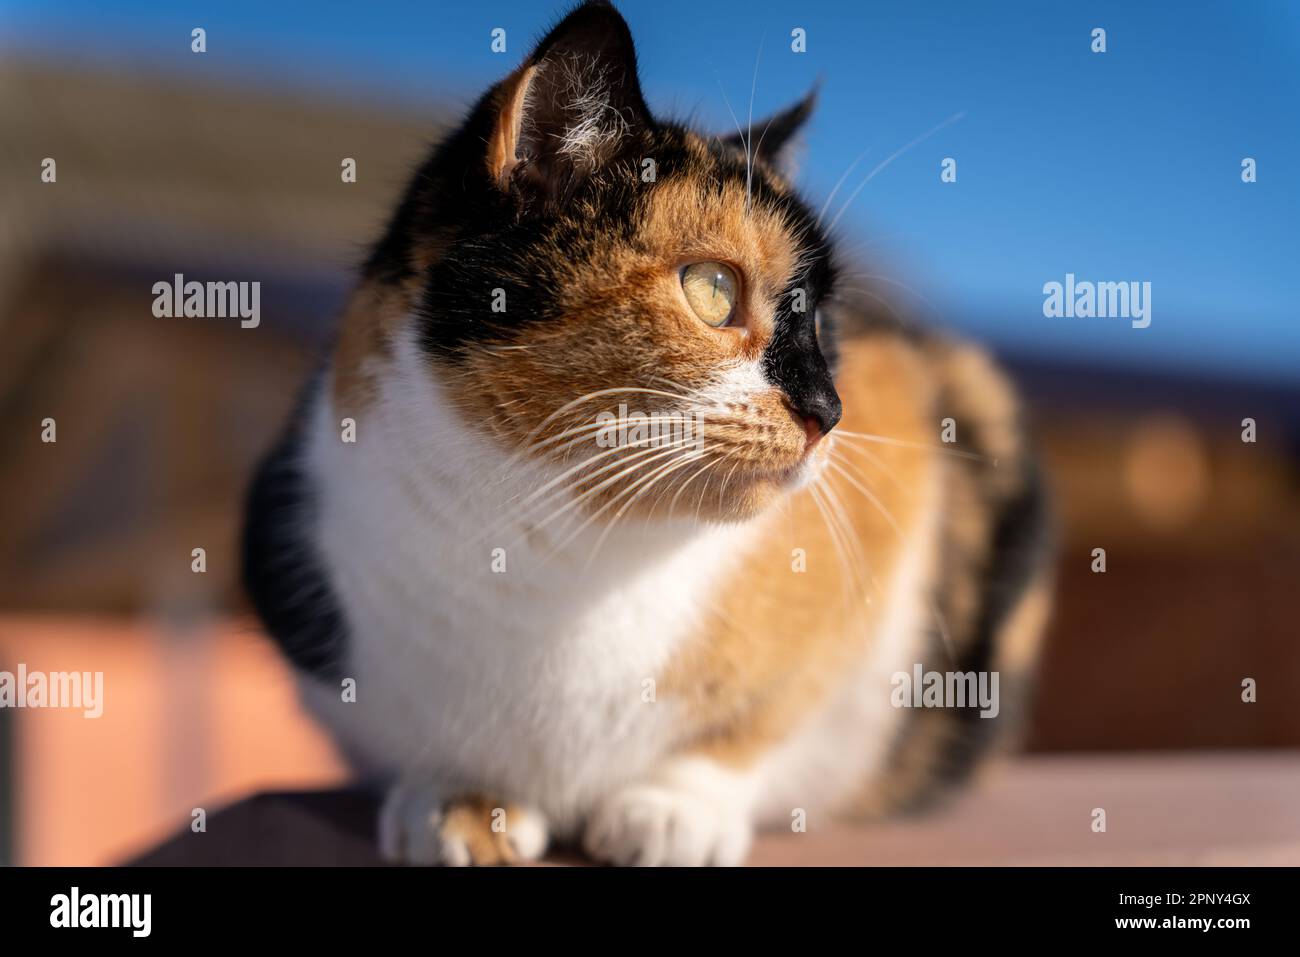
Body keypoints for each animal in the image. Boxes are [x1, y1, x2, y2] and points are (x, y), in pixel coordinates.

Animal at [244, 1, 1055, 868]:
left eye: (822, 322)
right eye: (713, 289)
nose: (830, 409)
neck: (559, 551)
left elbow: (763, 717)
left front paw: (673, 808)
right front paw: (460, 801)